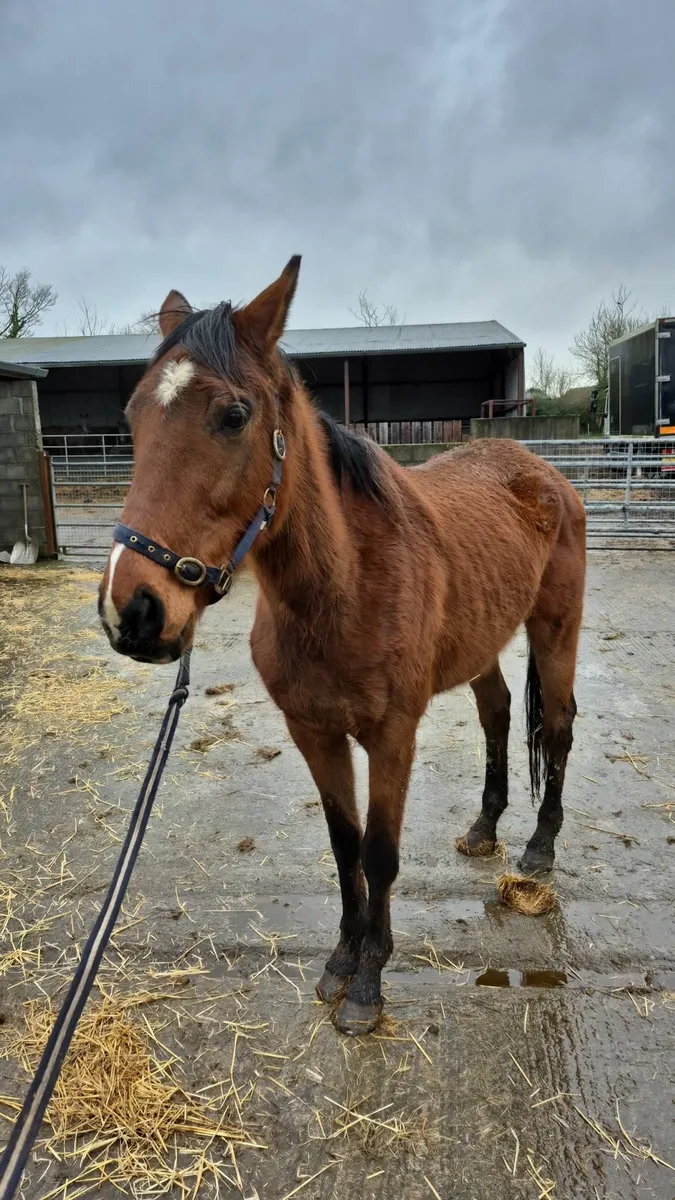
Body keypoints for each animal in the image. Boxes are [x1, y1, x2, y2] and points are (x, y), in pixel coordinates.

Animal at [99, 257, 586, 1036]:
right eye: (133, 417)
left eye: (233, 415)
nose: (133, 611)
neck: (345, 586)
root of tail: (537, 469)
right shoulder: (315, 733)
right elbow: (343, 846)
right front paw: (340, 960)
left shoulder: (391, 736)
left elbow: (380, 854)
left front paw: (368, 984)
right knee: (499, 711)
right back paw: (484, 827)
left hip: (555, 628)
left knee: (559, 726)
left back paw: (539, 848)